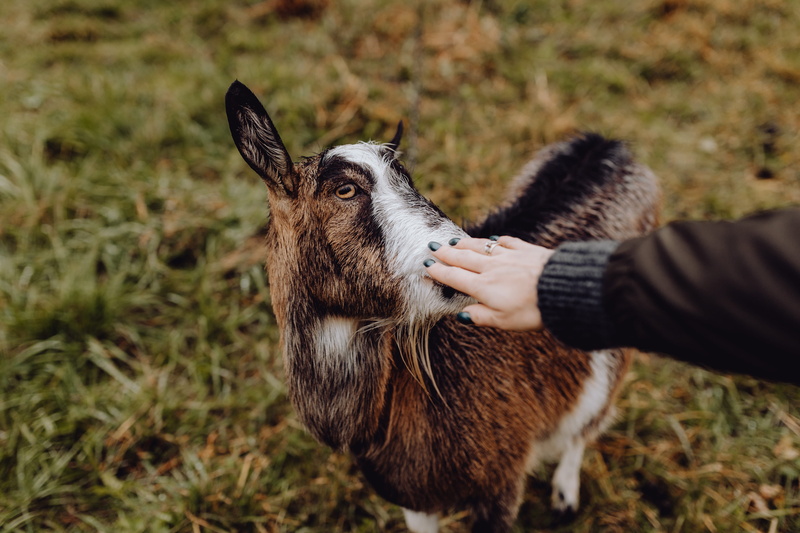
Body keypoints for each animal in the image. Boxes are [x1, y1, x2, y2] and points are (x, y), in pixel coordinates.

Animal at [225, 80, 660, 532]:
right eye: (344, 190)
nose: (472, 251)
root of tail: (607, 146)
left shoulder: (501, 481)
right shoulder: (411, 496)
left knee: (587, 420)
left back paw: (565, 498)